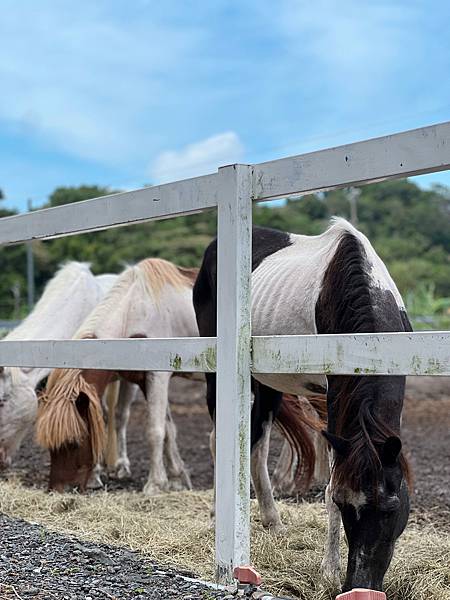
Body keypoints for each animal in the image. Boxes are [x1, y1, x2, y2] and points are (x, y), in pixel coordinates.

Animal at [34, 255, 197, 494]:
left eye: (75, 442)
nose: (58, 489)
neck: (136, 309)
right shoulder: (146, 382)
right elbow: (168, 430)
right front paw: (177, 479)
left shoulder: (158, 376)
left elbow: (155, 431)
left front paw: (155, 485)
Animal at [193, 218, 412, 592]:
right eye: (344, 505)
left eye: (390, 509)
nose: (359, 584)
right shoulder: (335, 397)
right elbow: (332, 480)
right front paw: (329, 571)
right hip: (216, 375)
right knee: (218, 441)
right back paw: (215, 517)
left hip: (267, 383)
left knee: (256, 446)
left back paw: (272, 521)